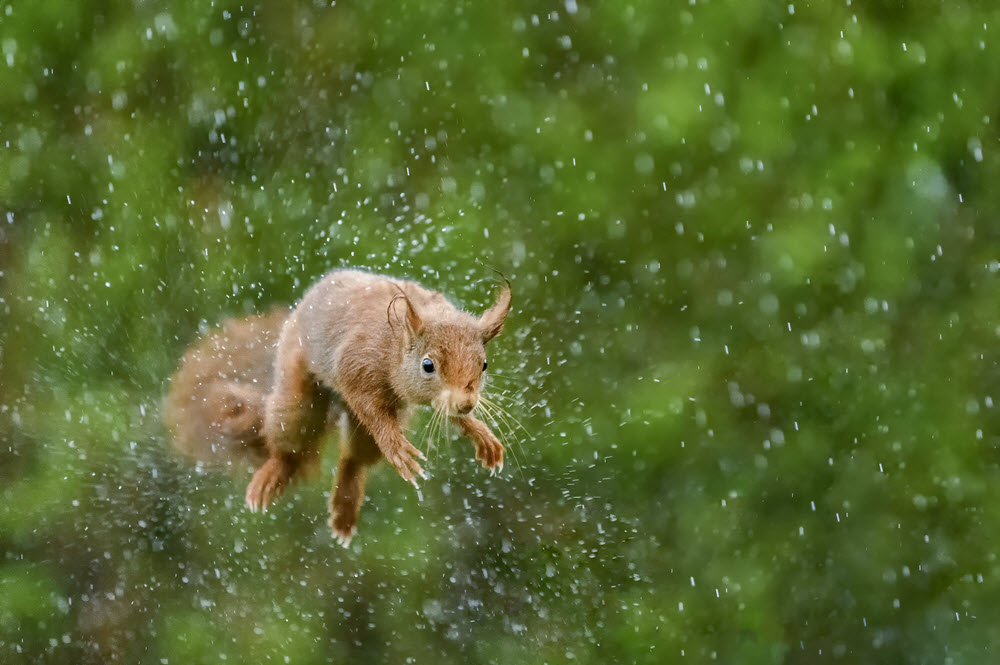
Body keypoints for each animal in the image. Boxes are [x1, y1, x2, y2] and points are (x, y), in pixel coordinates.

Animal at [165, 270, 512, 544]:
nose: (466, 404)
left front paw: (480, 433)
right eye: (428, 365)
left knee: (354, 459)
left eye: (483, 364)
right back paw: (272, 475)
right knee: (291, 440)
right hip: (297, 396)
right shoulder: (355, 364)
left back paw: (344, 510)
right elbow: (372, 411)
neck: (394, 344)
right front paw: (397, 448)